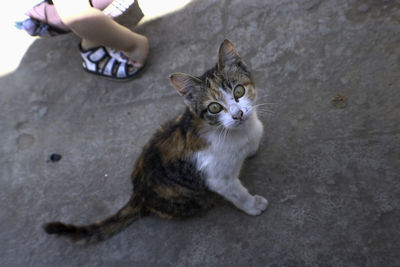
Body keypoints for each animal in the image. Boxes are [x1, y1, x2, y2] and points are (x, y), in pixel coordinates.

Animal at [43, 39, 268, 243]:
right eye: (214, 107)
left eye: (239, 91)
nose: (238, 114)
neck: (235, 132)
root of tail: (138, 193)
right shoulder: (218, 178)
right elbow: (237, 193)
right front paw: (252, 205)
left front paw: (251, 149)